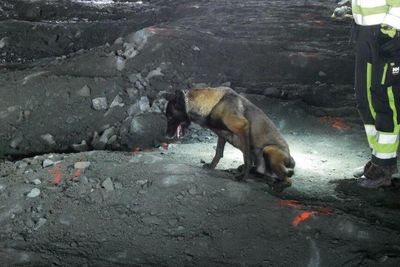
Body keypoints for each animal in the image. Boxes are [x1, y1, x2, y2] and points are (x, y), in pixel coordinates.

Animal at [164, 87, 296, 185]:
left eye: (169, 116)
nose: (166, 136)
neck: (214, 104)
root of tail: (290, 159)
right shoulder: (222, 135)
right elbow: (218, 152)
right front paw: (211, 166)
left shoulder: (242, 126)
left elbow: (247, 158)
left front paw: (243, 177)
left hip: (269, 150)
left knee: (286, 179)